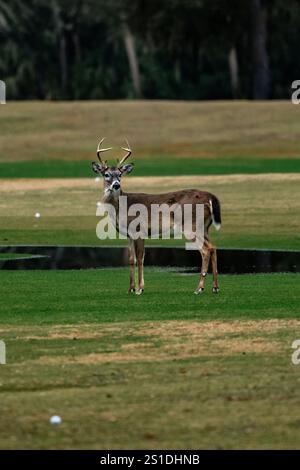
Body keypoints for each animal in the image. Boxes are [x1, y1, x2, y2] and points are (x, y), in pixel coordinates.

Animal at [92, 138, 221, 296]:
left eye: (120, 174)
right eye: (106, 175)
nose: (116, 185)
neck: (121, 207)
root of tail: (210, 197)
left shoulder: (139, 230)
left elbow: (140, 258)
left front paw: (140, 289)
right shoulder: (129, 235)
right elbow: (131, 259)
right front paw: (130, 288)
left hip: (191, 225)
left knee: (206, 250)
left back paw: (199, 288)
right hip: (205, 227)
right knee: (213, 247)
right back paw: (215, 287)